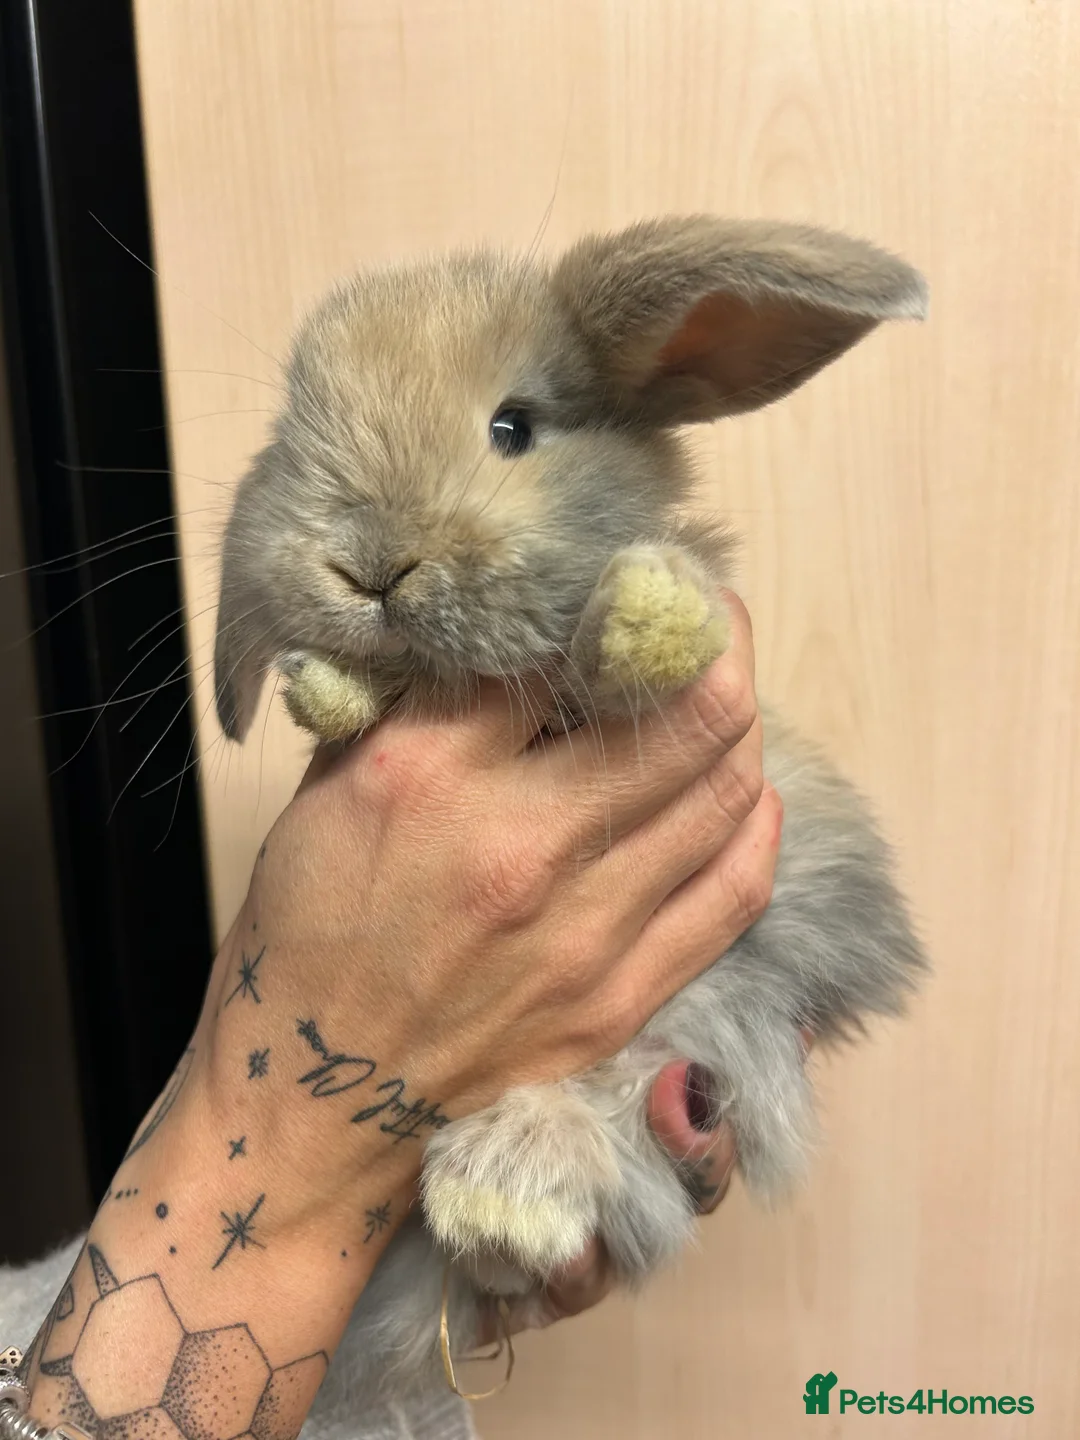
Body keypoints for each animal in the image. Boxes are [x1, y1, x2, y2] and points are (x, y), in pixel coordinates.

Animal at [213, 216, 929, 1398]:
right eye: (294, 433)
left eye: (515, 426)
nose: (369, 567)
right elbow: (355, 697)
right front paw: (325, 685)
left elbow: (624, 654)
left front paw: (651, 613)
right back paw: (495, 1205)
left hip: (726, 997)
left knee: (615, 1097)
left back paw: (502, 1190)